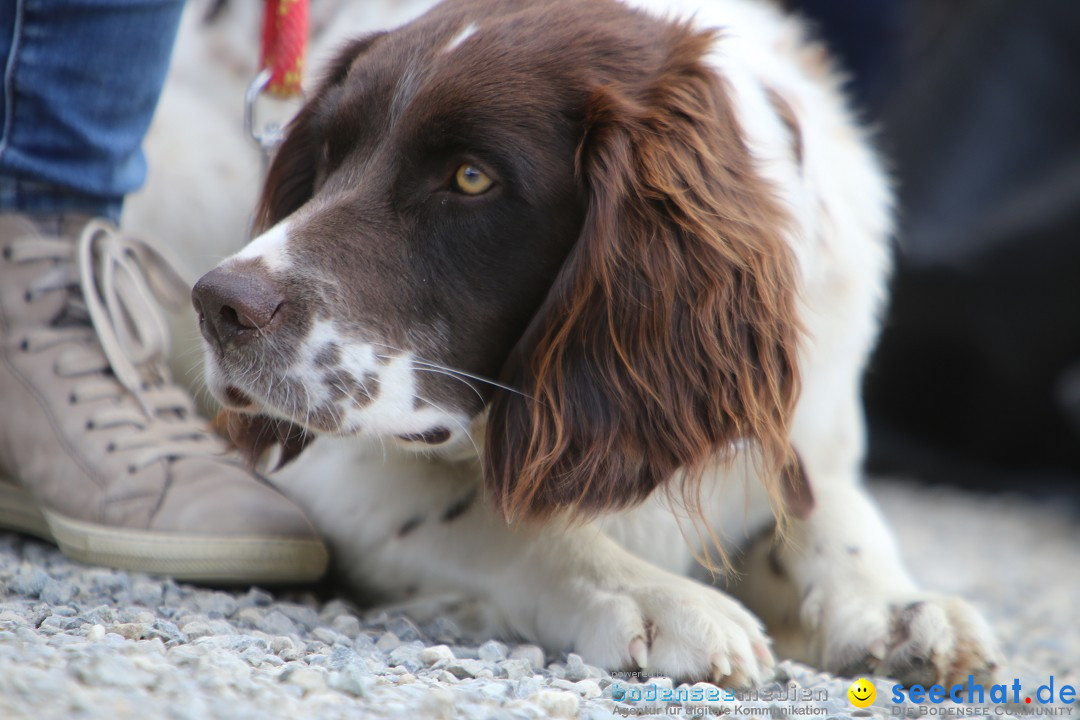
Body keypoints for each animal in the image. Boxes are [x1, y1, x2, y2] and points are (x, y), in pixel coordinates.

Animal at [187, 0, 1002, 686]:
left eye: (471, 177)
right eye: (326, 158)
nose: (220, 304)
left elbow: (832, 509)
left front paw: (900, 608)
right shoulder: (332, 464)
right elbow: (495, 514)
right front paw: (657, 597)